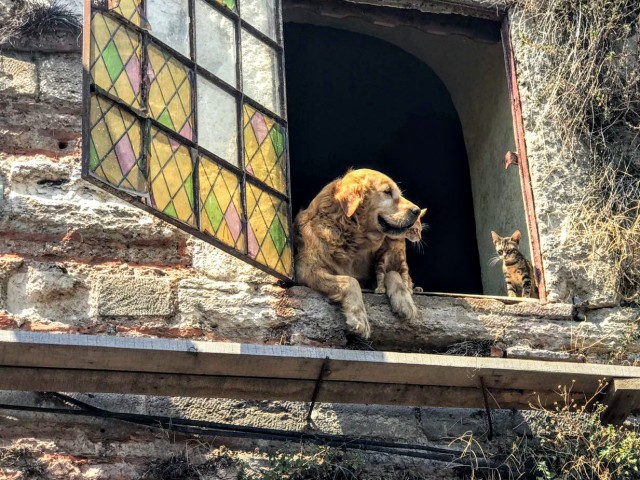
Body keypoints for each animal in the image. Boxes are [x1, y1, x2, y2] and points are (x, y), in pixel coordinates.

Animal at [292, 168, 422, 338]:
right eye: (387, 191)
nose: (417, 210)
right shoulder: (306, 270)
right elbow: (350, 281)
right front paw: (359, 317)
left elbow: (392, 273)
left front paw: (404, 301)